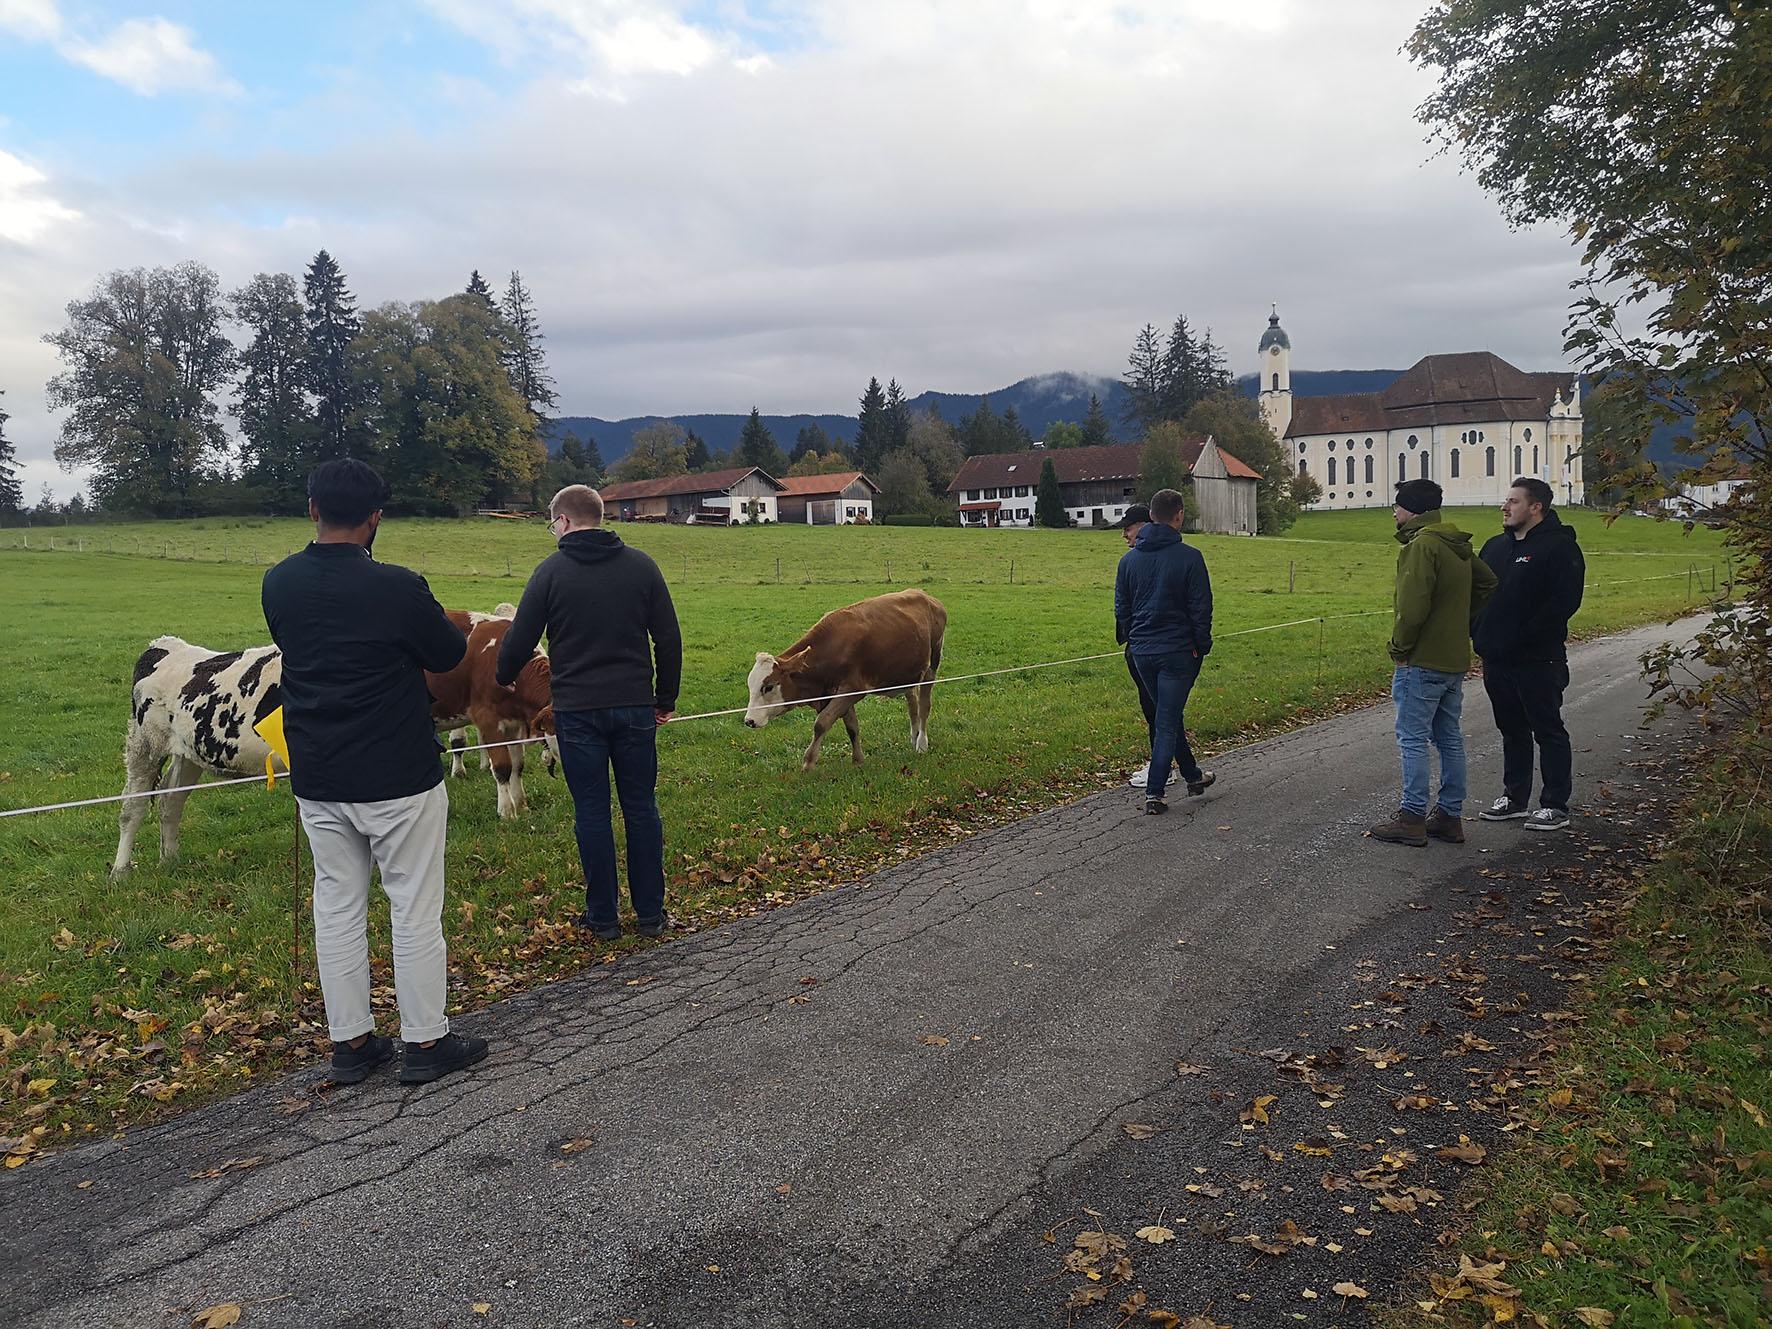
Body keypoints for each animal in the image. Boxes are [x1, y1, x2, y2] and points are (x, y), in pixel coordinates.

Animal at [111, 637, 283, 878]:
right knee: (132, 806)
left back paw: (169, 861)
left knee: (171, 799)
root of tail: (163, 644)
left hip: (189, 753)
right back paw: (120, 871)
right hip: (144, 745)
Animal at [425, 616, 549, 822]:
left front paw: (521, 805)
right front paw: (507, 811)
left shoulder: (513, 725)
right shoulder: (488, 719)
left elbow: (518, 765)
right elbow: (502, 766)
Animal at [740, 591, 949, 769]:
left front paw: (808, 762)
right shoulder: (839, 693)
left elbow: (821, 723)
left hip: (931, 667)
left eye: (768, 687)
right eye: (751, 686)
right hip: (907, 674)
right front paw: (858, 760)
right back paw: (914, 737)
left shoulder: (852, 690)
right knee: (912, 703)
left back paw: (921, 744)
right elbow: (852, 727)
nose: (749, 720)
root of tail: (927, 597)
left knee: (924, 706)